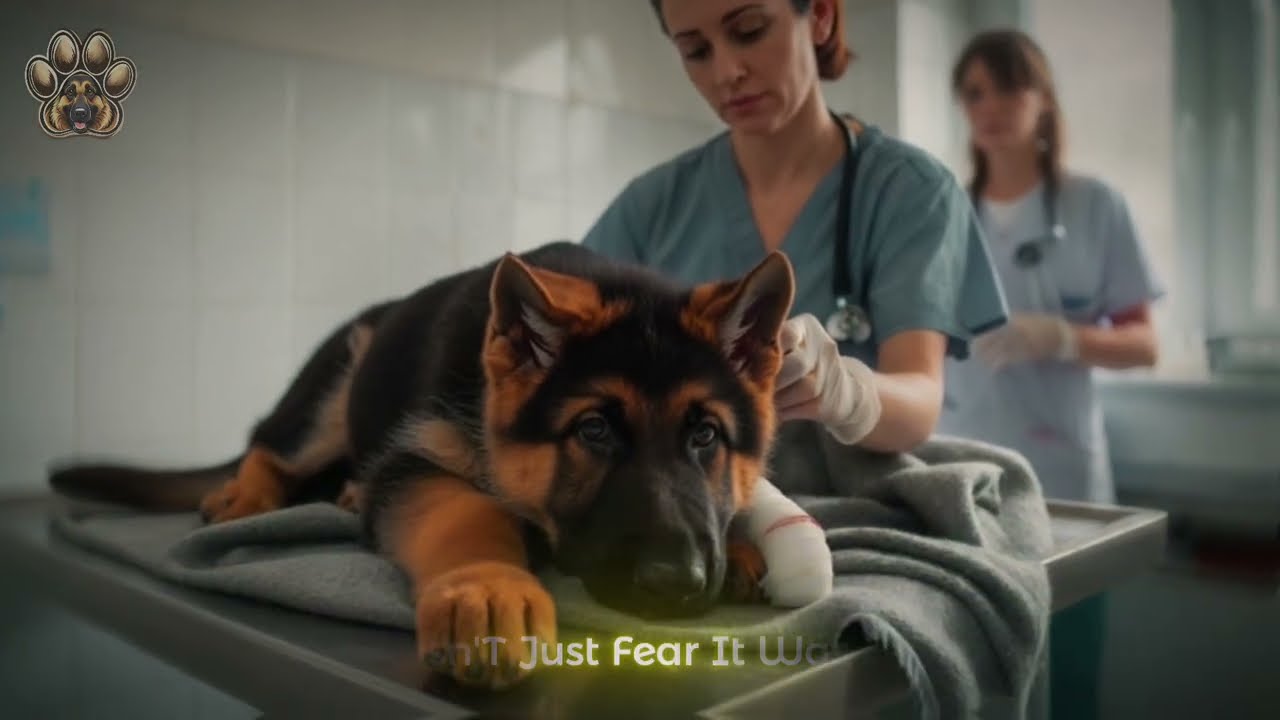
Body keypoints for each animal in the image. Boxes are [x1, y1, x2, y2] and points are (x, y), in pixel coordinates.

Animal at [49, 241, 797, 690]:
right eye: (593, 431)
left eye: (706, 436)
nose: (679, 585)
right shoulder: (416, 456)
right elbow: (466, 509)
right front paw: (490, 589)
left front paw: (741, 543)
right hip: (337, 383)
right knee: (270, 438)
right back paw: (249, 495)